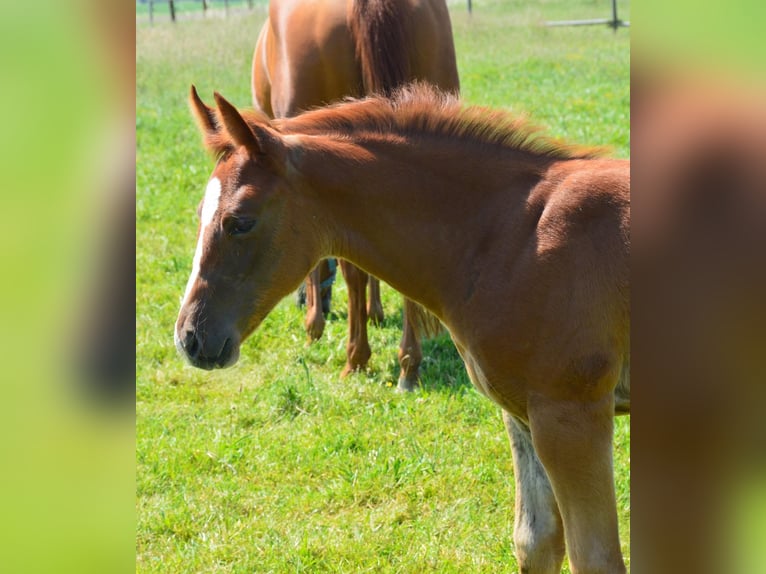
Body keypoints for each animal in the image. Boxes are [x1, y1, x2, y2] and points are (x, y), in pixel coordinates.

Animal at [177, 86, 632, 574]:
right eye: (200, 213)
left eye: (239, 221)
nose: (189, 336)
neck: (513, 236)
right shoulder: (521, 411)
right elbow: (535, 543)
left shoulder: (570, 415)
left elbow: (596, 557)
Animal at [252, 0, 460, 392]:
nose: (302, 304)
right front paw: (374, 311)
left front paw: (314, 324)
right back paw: (409, 364)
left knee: (353, 270)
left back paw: (357, 357)